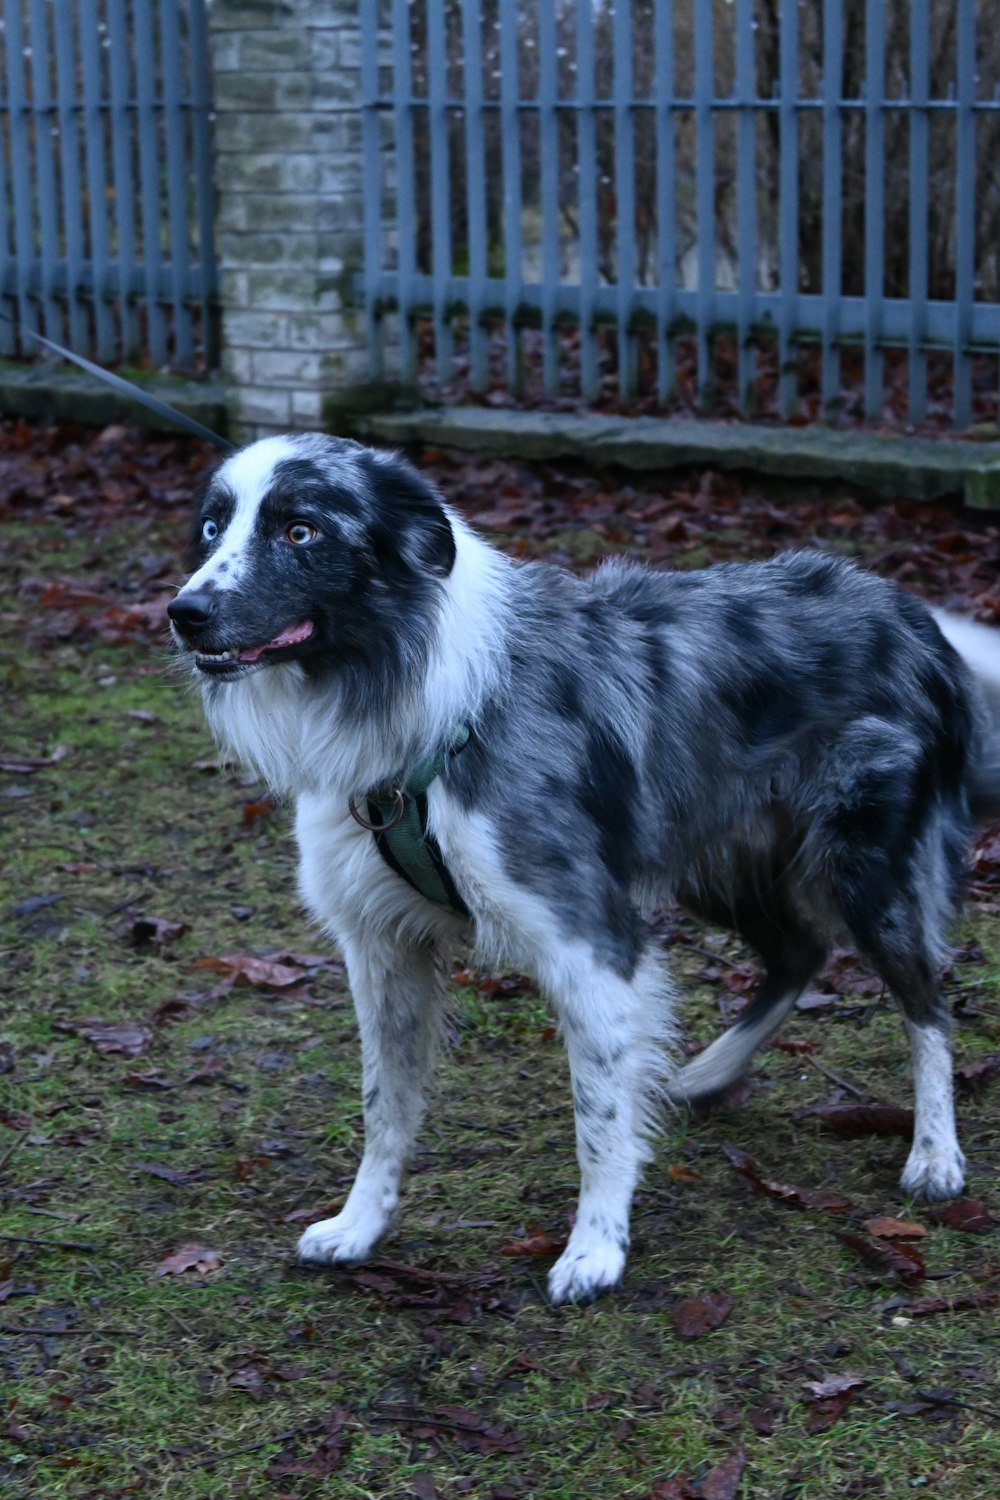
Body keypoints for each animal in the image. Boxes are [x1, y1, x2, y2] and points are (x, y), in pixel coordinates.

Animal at [166, 432, 1000, 1302]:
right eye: (211, 528)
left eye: (301, 530)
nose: (184, 614)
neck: (415, 691)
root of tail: (905, 609)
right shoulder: (382, 949)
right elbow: (383, 1104)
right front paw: (361, 1225)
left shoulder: (587, 939)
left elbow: (596, 1117)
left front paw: (595, 1250)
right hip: (713, 862)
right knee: (800, 951)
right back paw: (702, 1075)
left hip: (867, 872)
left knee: (928, 1006)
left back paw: (935, 1154)